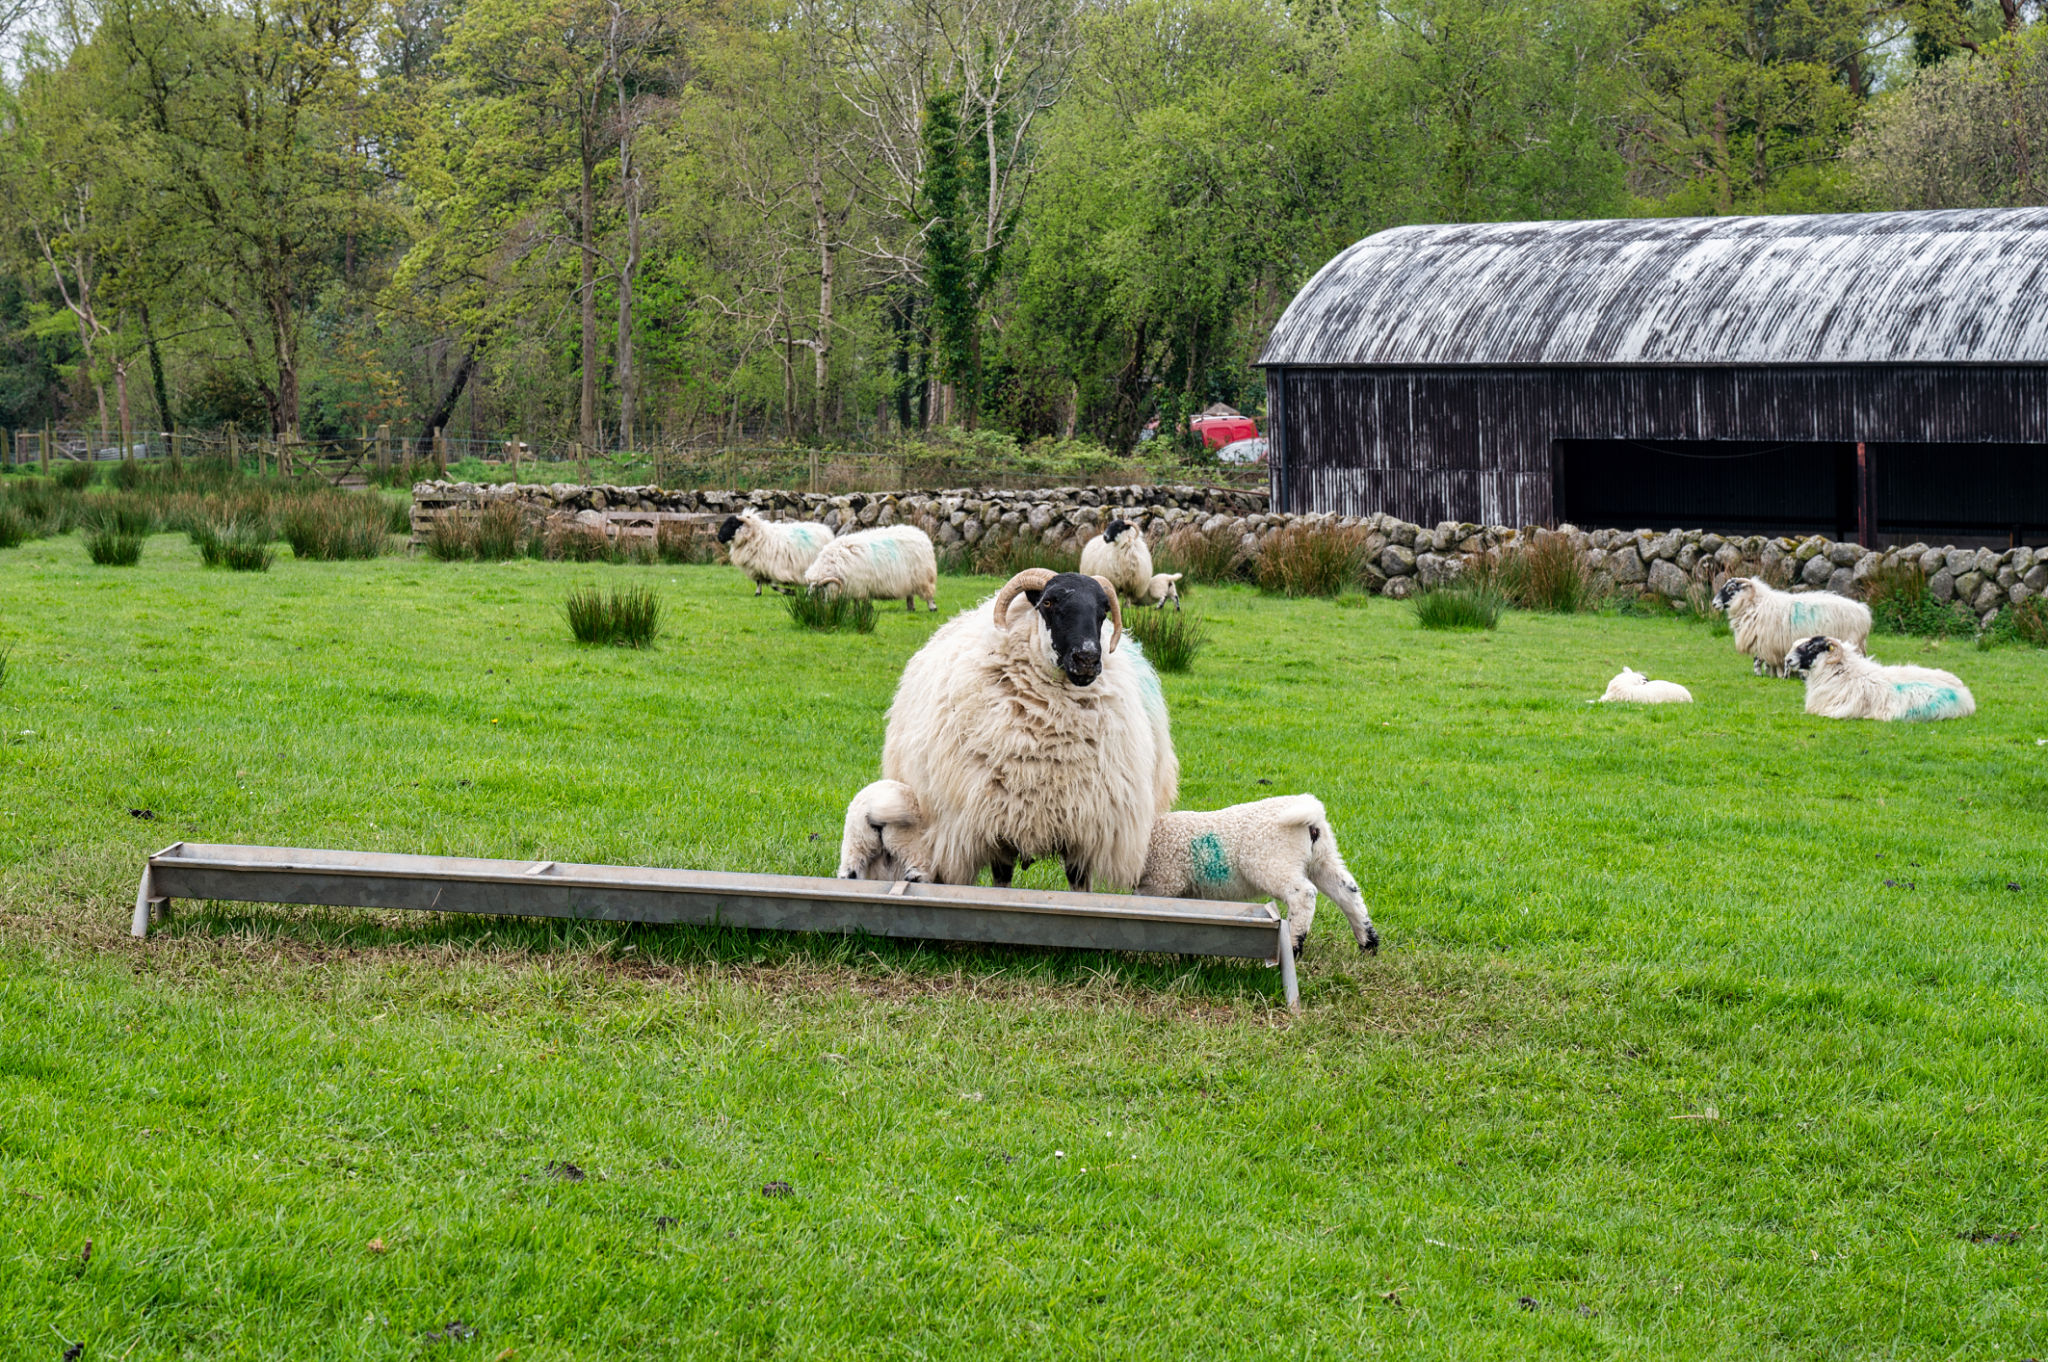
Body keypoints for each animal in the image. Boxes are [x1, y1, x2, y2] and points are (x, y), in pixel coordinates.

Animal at [804, 525, 938, 611]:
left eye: (819, 589)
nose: (808, 604)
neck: (835, 565)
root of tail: (922, 534)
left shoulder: (860, 585)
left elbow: (861, 600)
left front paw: (866, 609)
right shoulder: (855, 586)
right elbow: (856, 601)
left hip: (923, 577)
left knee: (928, 594)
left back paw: (932, 607)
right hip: (909, 579)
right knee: (910, 595)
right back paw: (911, 608)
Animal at [880, 568, 1177, 891]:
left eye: (1103, 609)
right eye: (1048, 602)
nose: (1087, 659)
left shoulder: (1084, 830)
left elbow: (1079, 885)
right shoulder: (997, 825)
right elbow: (1002, 881)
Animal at [1138, 796, 1377, 957]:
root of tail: (1312, 815)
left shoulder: (1162, 881)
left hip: (1274, 862)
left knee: (1303, 894)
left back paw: (1293, 945)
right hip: (1323, 858)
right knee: (1348, 890)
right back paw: (1369, 943)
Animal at [1711, 577, 1871, 678]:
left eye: (1731, 588)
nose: (1714, 604)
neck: (1755, 605)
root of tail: (1864, 612)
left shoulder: (1767, 642)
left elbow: (1758, 660)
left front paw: (1763, 675)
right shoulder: (1769, 643)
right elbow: (1767, 662)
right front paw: (1772, 674)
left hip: (1851, 641)